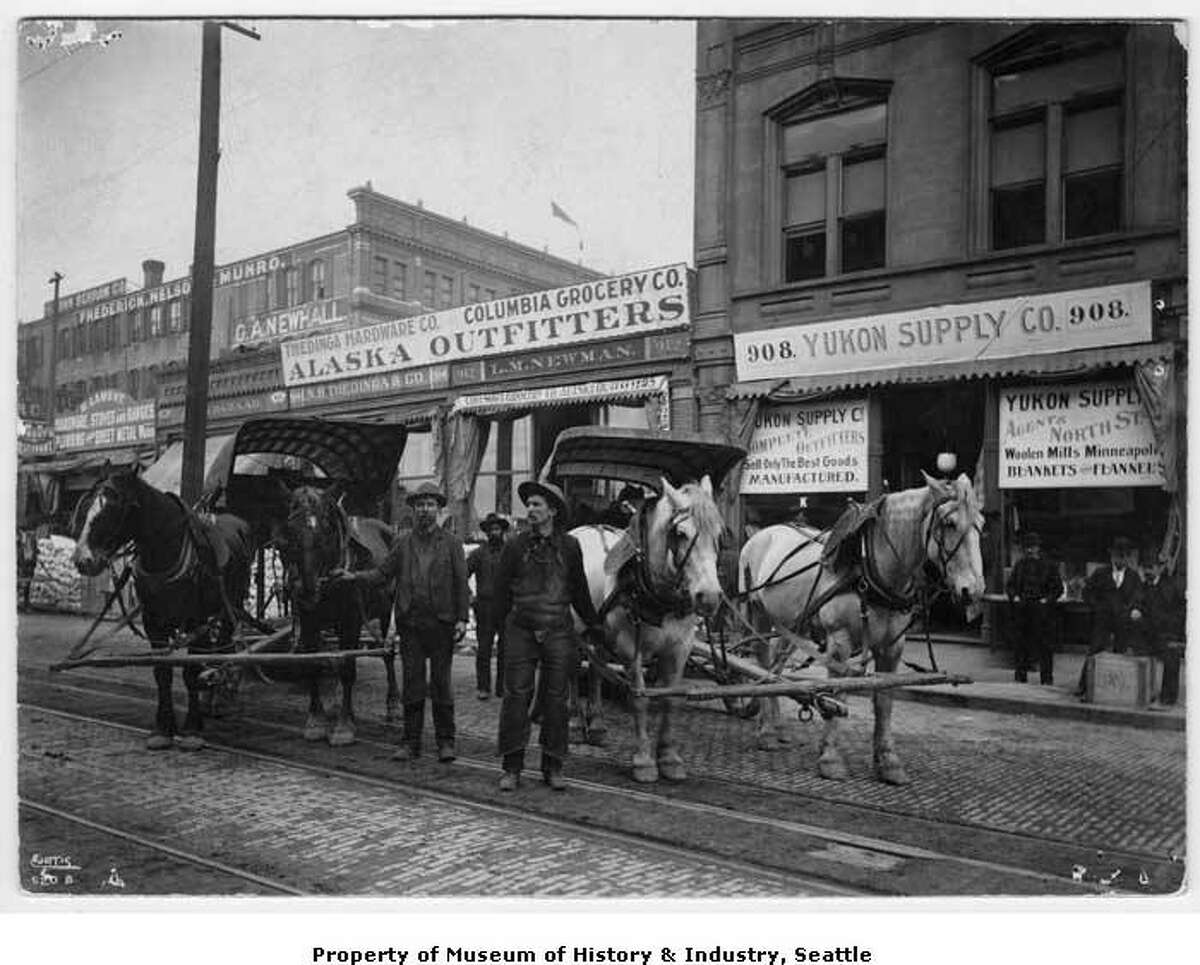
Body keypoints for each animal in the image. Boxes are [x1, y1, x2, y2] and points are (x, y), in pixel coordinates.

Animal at [71, 463, 254, 748]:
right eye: (87, 504)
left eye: (116, 507)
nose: (83, 560)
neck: (167, 548)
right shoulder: (153, 621)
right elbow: (162, 672)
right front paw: (163, 728)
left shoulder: (196, 620)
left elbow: (190, 671)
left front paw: (192, 729)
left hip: (228, 607)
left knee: (225, 647)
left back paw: (221, 696)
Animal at [276, 482, 398, 744]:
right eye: (290, 529)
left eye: (325, 529)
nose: (307, 590)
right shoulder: (309, 619)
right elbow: (312, 663)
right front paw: (316, 720)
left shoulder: (352, 619)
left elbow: (347, 668)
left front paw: (343, 727)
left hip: (386, 611)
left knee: (386, 653)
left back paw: (393, 703)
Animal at [568, 475, 724, 782]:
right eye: (681, 534)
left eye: (718, 533)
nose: (710, 597)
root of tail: (585, 527)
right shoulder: (631, 648)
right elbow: (639, 699)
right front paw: (643, 760)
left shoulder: (680, 648)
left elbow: (670, 699)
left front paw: (669, 757)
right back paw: (572, 722)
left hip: (599, 632)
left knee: (595, 668)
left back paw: (597, 724)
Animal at [739, 472, 984, 782]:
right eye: (949, 523)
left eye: (981, 524)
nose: (973, 590)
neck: (872, 569)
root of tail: (760, 533)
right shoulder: (839, 641)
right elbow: (838, 695)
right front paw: (830, 758)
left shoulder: (892, 646)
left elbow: (884, 701)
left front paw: (888, 761)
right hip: (758, 611)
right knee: (761, 660)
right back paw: (767, 731)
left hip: (793, 622)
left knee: (775, 665)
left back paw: (773, 726)